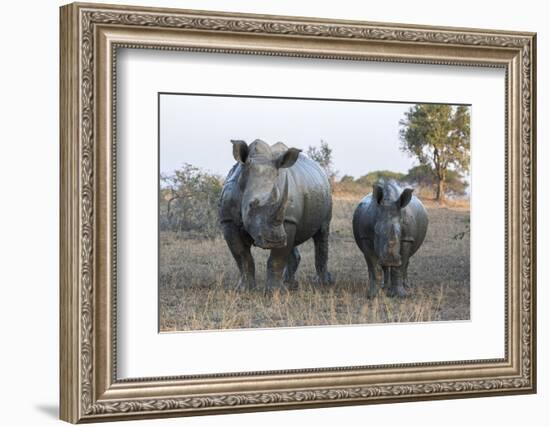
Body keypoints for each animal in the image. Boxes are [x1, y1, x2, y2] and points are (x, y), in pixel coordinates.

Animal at [221, 139, 334, 292]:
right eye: (251, 205)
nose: (275, 241)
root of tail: (320, 169)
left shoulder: (288, 220)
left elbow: (277, 259)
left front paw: (274, 292)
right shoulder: (228, 221)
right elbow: (242, 256)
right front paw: (244, 290)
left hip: (326, 191)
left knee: (322, 232)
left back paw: (322, 283)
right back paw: (289, 283)